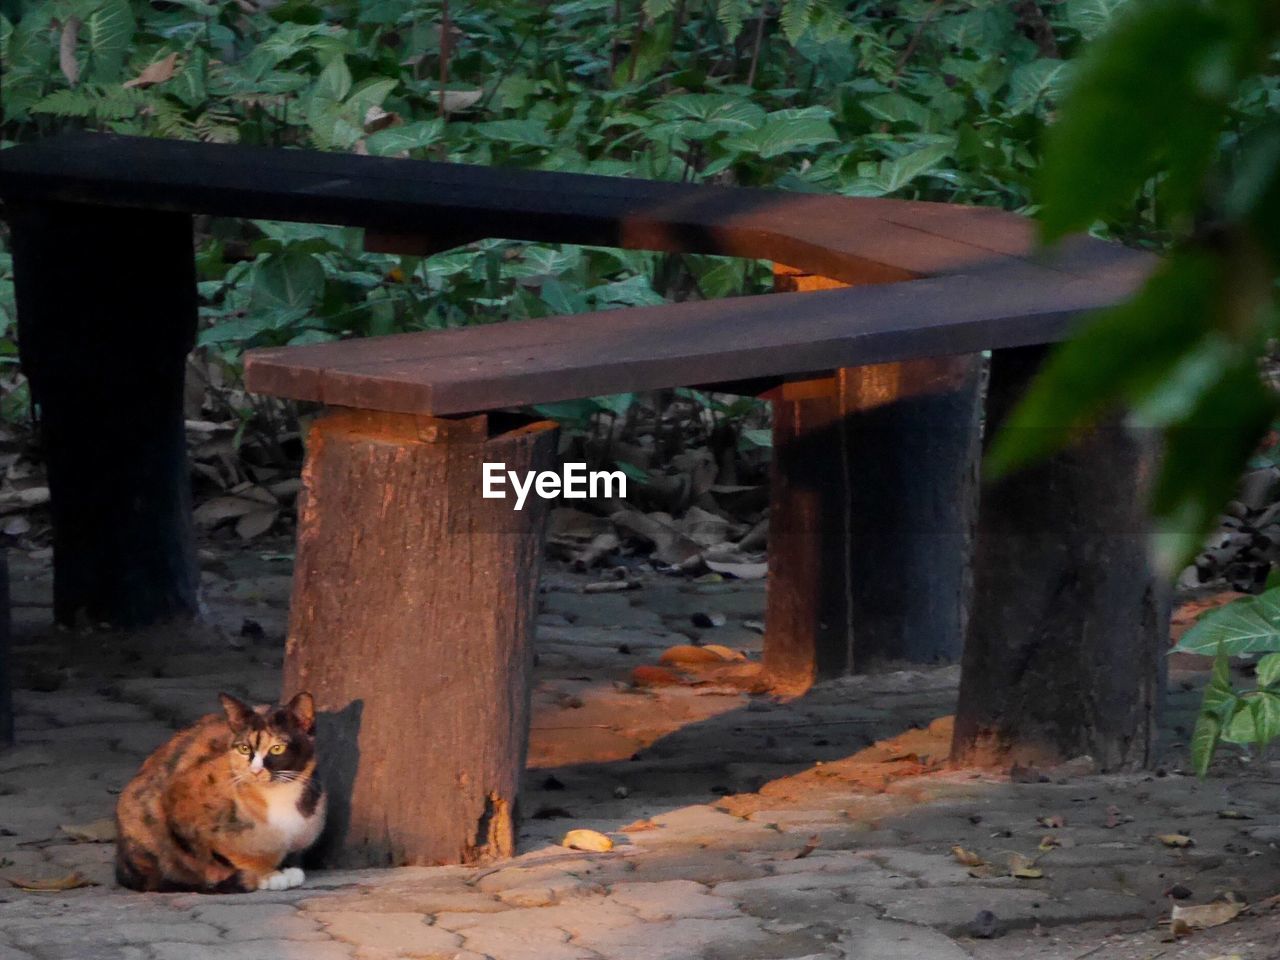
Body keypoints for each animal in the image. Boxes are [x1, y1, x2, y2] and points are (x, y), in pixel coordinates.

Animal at [116, 691, 325, 896]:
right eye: (244, 748)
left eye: (277, 748)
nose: (255, 770)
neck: (278, 795)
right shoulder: (179, 802)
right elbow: (216, 855)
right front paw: (266, 875)